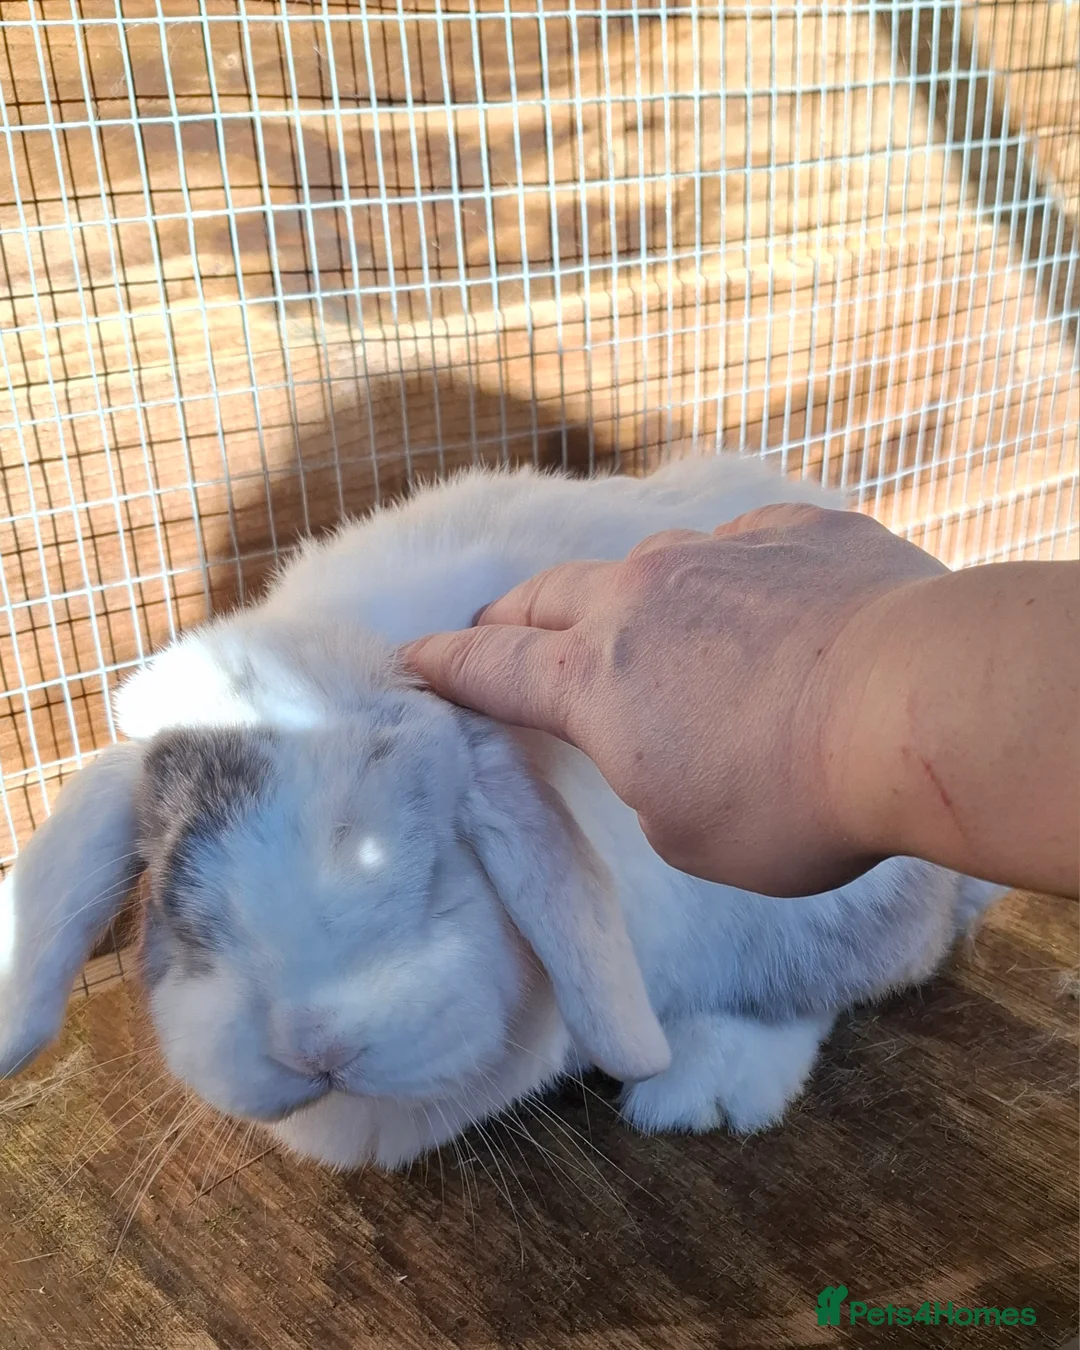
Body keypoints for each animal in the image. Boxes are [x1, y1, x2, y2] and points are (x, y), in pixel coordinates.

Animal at [0, 452, 1005, 1170]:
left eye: (432, 873)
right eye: (178, 903)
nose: (315, 1047)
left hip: (813, 895)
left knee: (831, 983)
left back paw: (706, 1089)